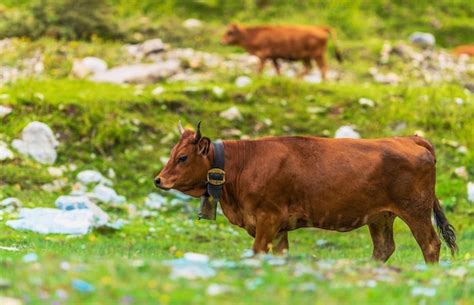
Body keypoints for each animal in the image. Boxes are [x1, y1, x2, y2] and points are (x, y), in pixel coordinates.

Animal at [155, 122, 456, 262]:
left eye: (182, 157)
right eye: (172, 154)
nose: (159, 180)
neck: (242, 164)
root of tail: (410, 138)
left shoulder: (268, 218)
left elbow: (257, 252)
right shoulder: (278, 227)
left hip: (415, 210)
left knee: (430, 245)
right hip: (381, 216)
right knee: (384, 248)